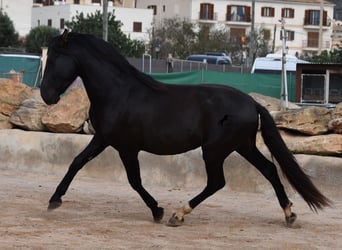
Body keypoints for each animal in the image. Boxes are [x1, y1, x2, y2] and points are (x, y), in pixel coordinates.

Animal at [40, 30, 332, 227]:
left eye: (53, 59)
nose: (46, 95)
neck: (119, 92)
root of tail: (252, 103)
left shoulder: (126, 148)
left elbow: (134, 180)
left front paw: (157, 210)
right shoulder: (103, 138)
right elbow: (76, 162)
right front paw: (54, 200)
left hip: (215, 150)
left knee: (217, 182)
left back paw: (178, 214)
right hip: (243, 146)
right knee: (270, 170)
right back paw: (289, 214)